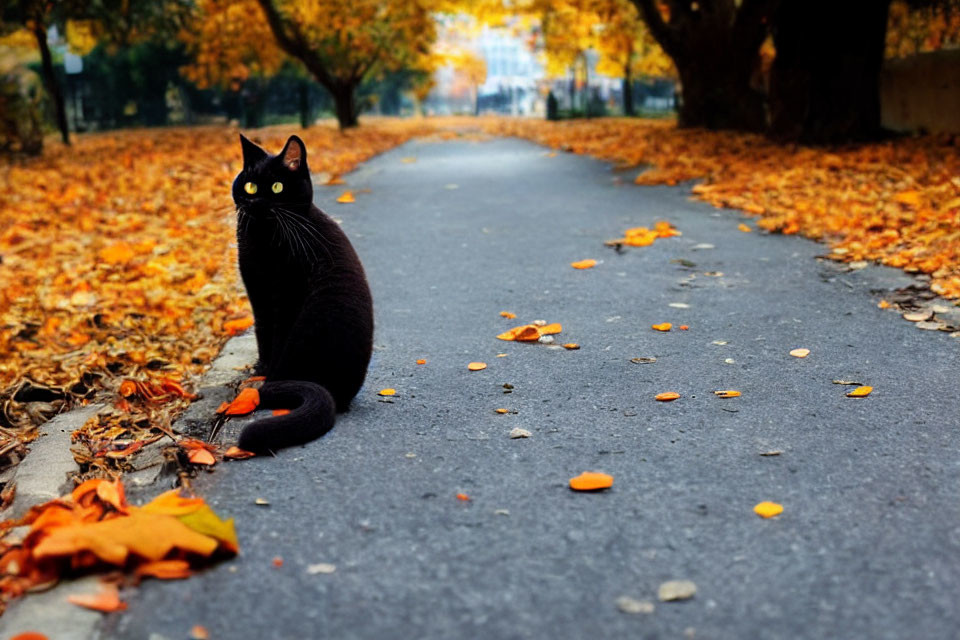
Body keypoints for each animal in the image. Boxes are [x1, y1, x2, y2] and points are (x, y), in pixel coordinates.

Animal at [231, 135, 374, 452]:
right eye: (250, 186)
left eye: (276, 187)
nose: (256, 202)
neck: (261, 239)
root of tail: (336, 393)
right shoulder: (257, 293)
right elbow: (262, 335)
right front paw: (260, 368)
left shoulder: (286, 294)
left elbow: (276, 338)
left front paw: (266, 376)